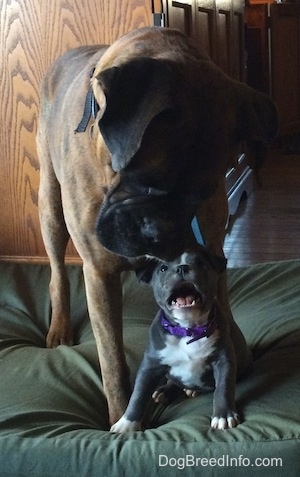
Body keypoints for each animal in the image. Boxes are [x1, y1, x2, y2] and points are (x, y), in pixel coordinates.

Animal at [36, 25, 278, 424]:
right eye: (142, 179)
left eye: (202, 193)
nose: (158, 237)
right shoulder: (99, 274)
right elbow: (113, 364)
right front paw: (121, 416)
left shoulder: (213, 255)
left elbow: (223, 328)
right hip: (49, 205)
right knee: (57, 271)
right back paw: (59, 328)